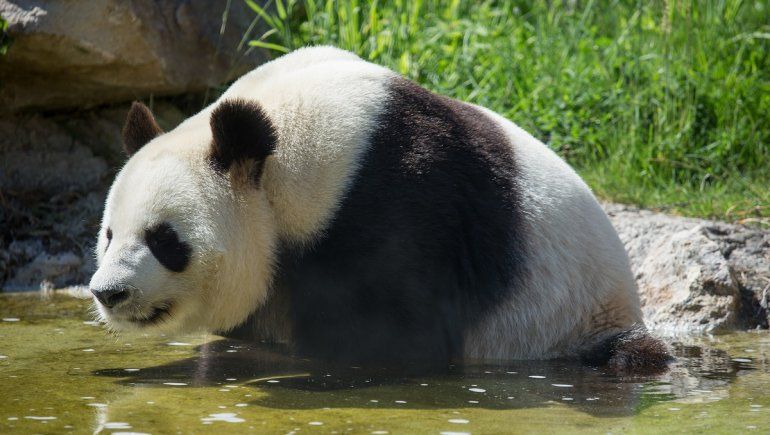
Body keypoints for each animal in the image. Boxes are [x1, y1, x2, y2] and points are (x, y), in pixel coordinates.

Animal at [89, 46, 669, 373]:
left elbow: (399, 338)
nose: (108, 293)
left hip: (572, 320)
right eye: (110, 235)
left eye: (165, 240)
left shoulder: (396, 204)